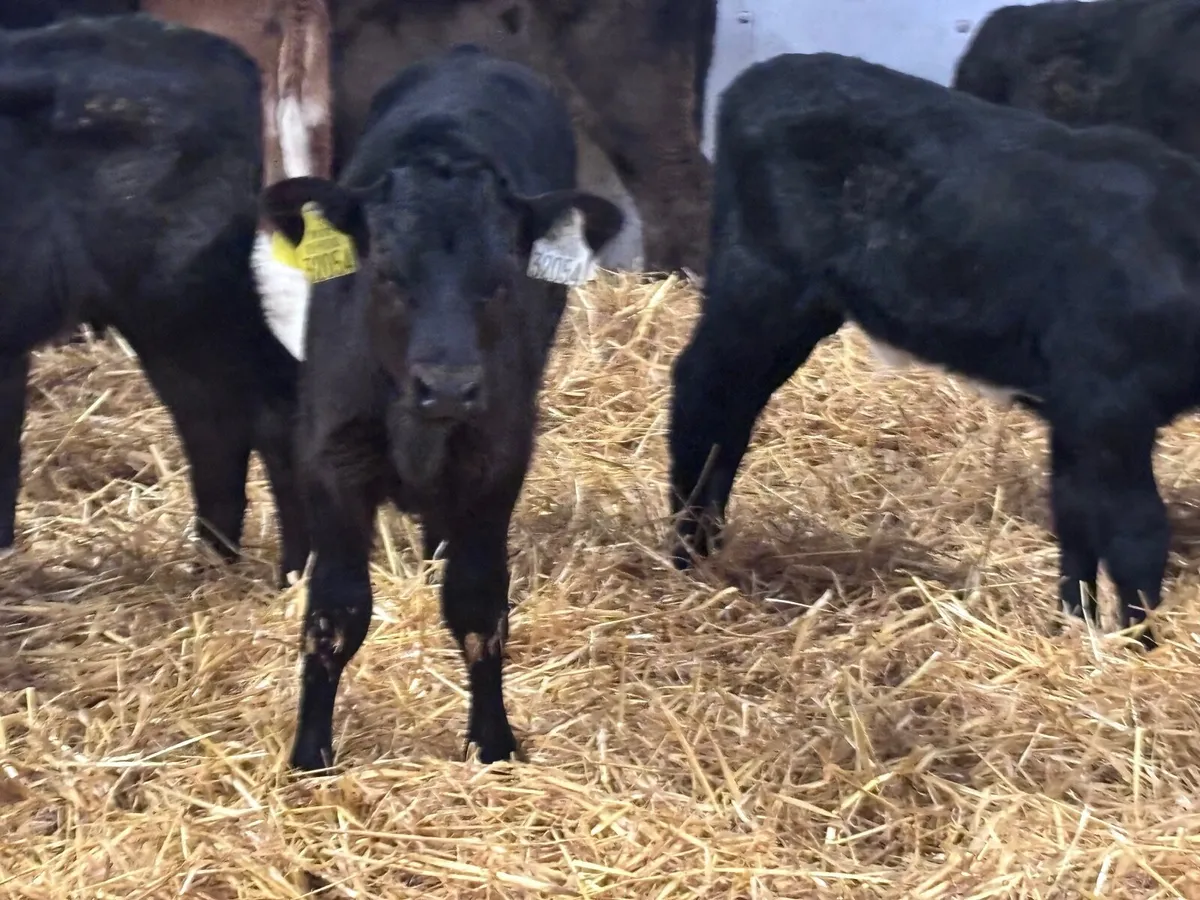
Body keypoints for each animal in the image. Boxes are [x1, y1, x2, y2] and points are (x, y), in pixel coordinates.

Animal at [254, 44, 623, 770]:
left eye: (501, 279)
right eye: (386, 273)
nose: (448, 386)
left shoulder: (497, 457)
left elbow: (478, 607)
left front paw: (494, 743)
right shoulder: (331, 457)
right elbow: (335, 614)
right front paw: (310, 754)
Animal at [667, 51, 1200, 651]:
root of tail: (759, 77)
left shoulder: (1075, 409)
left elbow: (1076, 513)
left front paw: (1075, 625)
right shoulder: (1112, 404)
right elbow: (1138, 530)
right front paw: (1138, 646)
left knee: (730, 407)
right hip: (764, 283)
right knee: (705, 392)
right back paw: (690, 546)